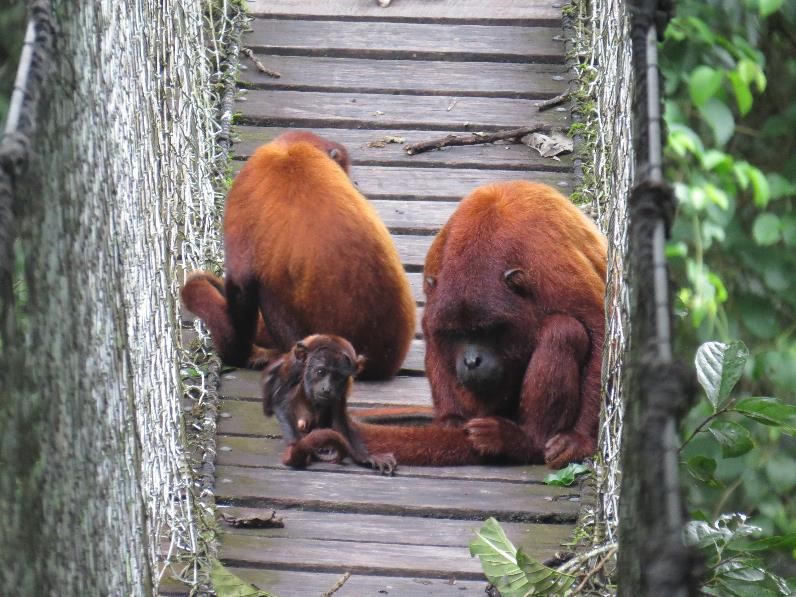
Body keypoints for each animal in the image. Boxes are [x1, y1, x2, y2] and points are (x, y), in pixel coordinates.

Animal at [262, 332, 396, 472]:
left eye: (338, 377)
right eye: (321, 372)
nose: (327, 388)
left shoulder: (344, 384)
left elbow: (339, 416)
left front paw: (366, 456)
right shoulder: (296, 367)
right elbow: (281, 399)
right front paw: (295, 448)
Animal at [296, 179, 608, 468]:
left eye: (487, 331)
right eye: (456, 334)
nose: (471, 361)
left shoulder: (547, 263)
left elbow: (598, 327)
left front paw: (578, 439)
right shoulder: (438, 272)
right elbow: (430, 327)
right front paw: (451, 421)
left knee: (563, 330)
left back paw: (524, 442)